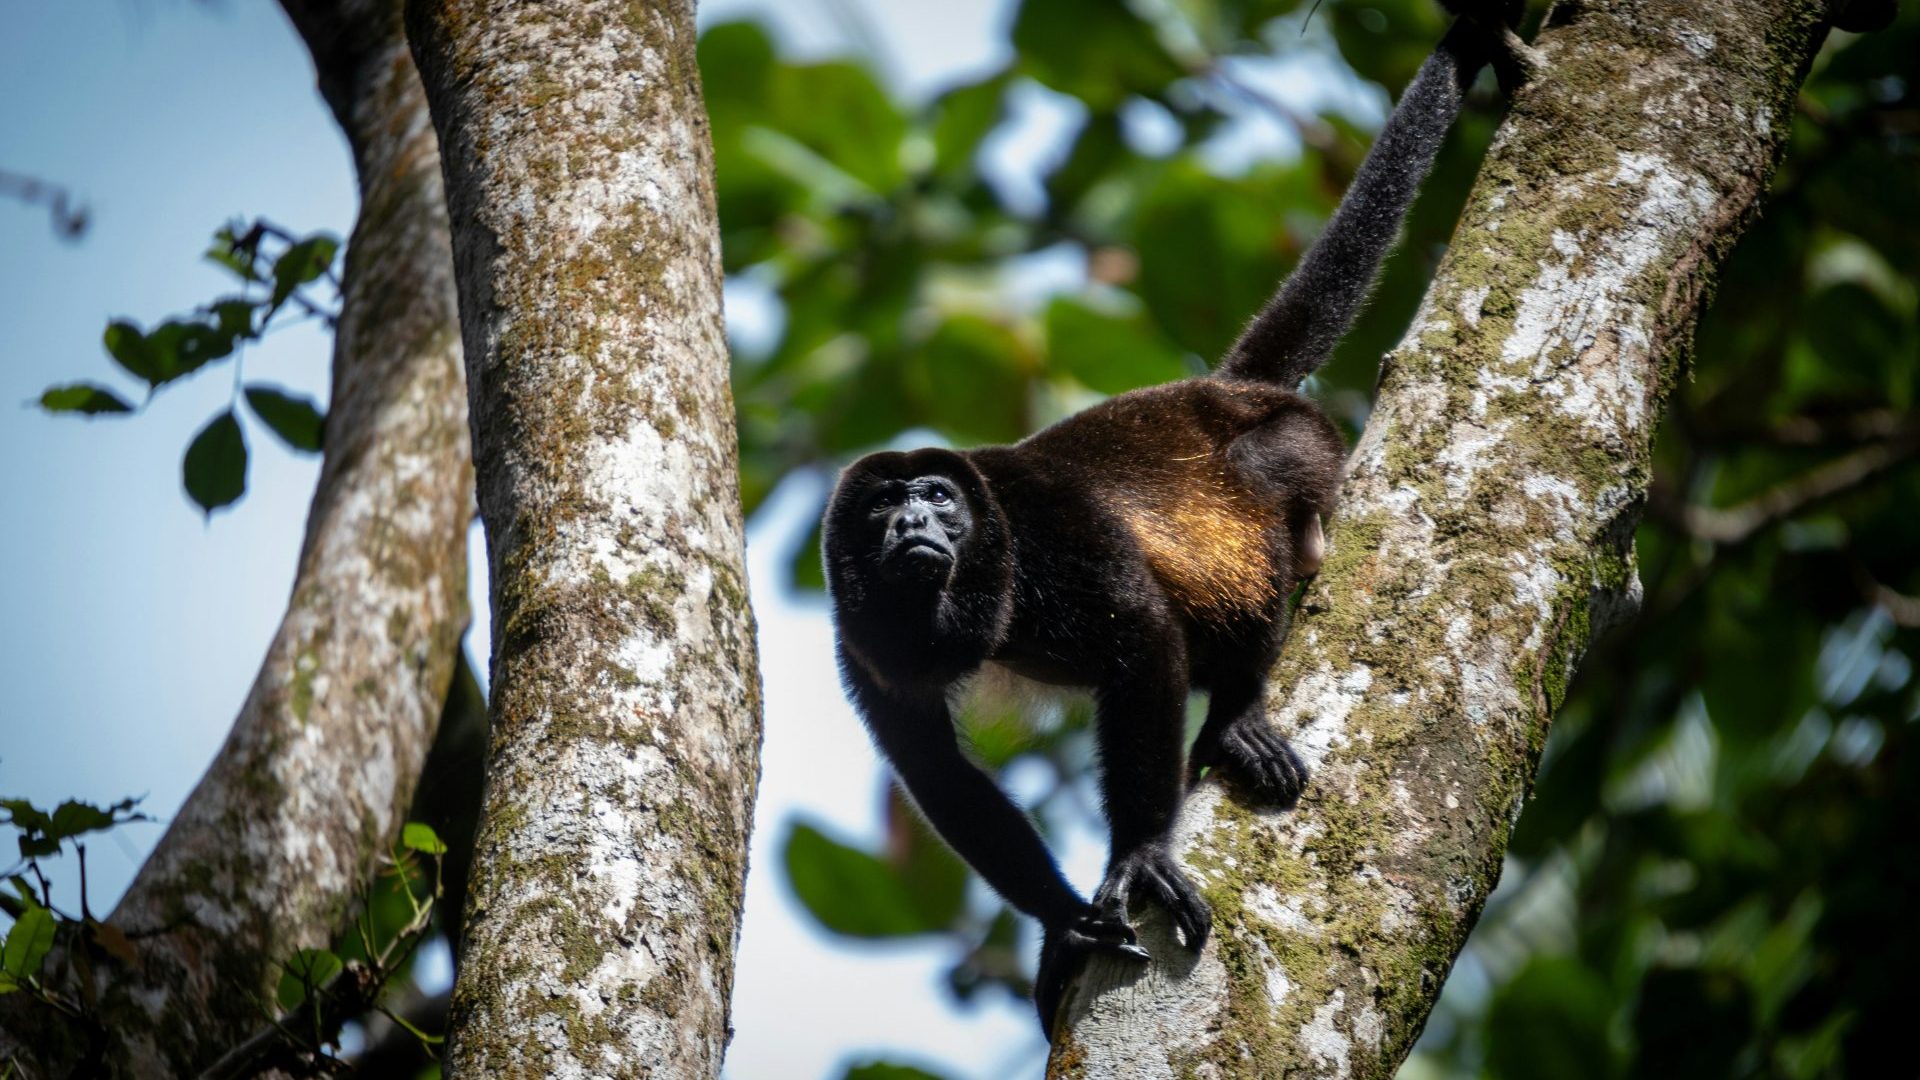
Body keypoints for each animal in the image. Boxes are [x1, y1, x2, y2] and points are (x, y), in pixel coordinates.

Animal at [825, 2, 1528, 1037]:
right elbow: (938, 771)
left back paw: (1237, 710)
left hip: (1296, 443)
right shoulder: (858, 641)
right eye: (884, 502)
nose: (916, 514)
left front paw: (1143, 856)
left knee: (1259, 510)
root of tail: (1225, 385)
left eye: (940, 496)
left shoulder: (1049, 532)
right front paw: (1066, 926)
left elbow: (1141, 636)